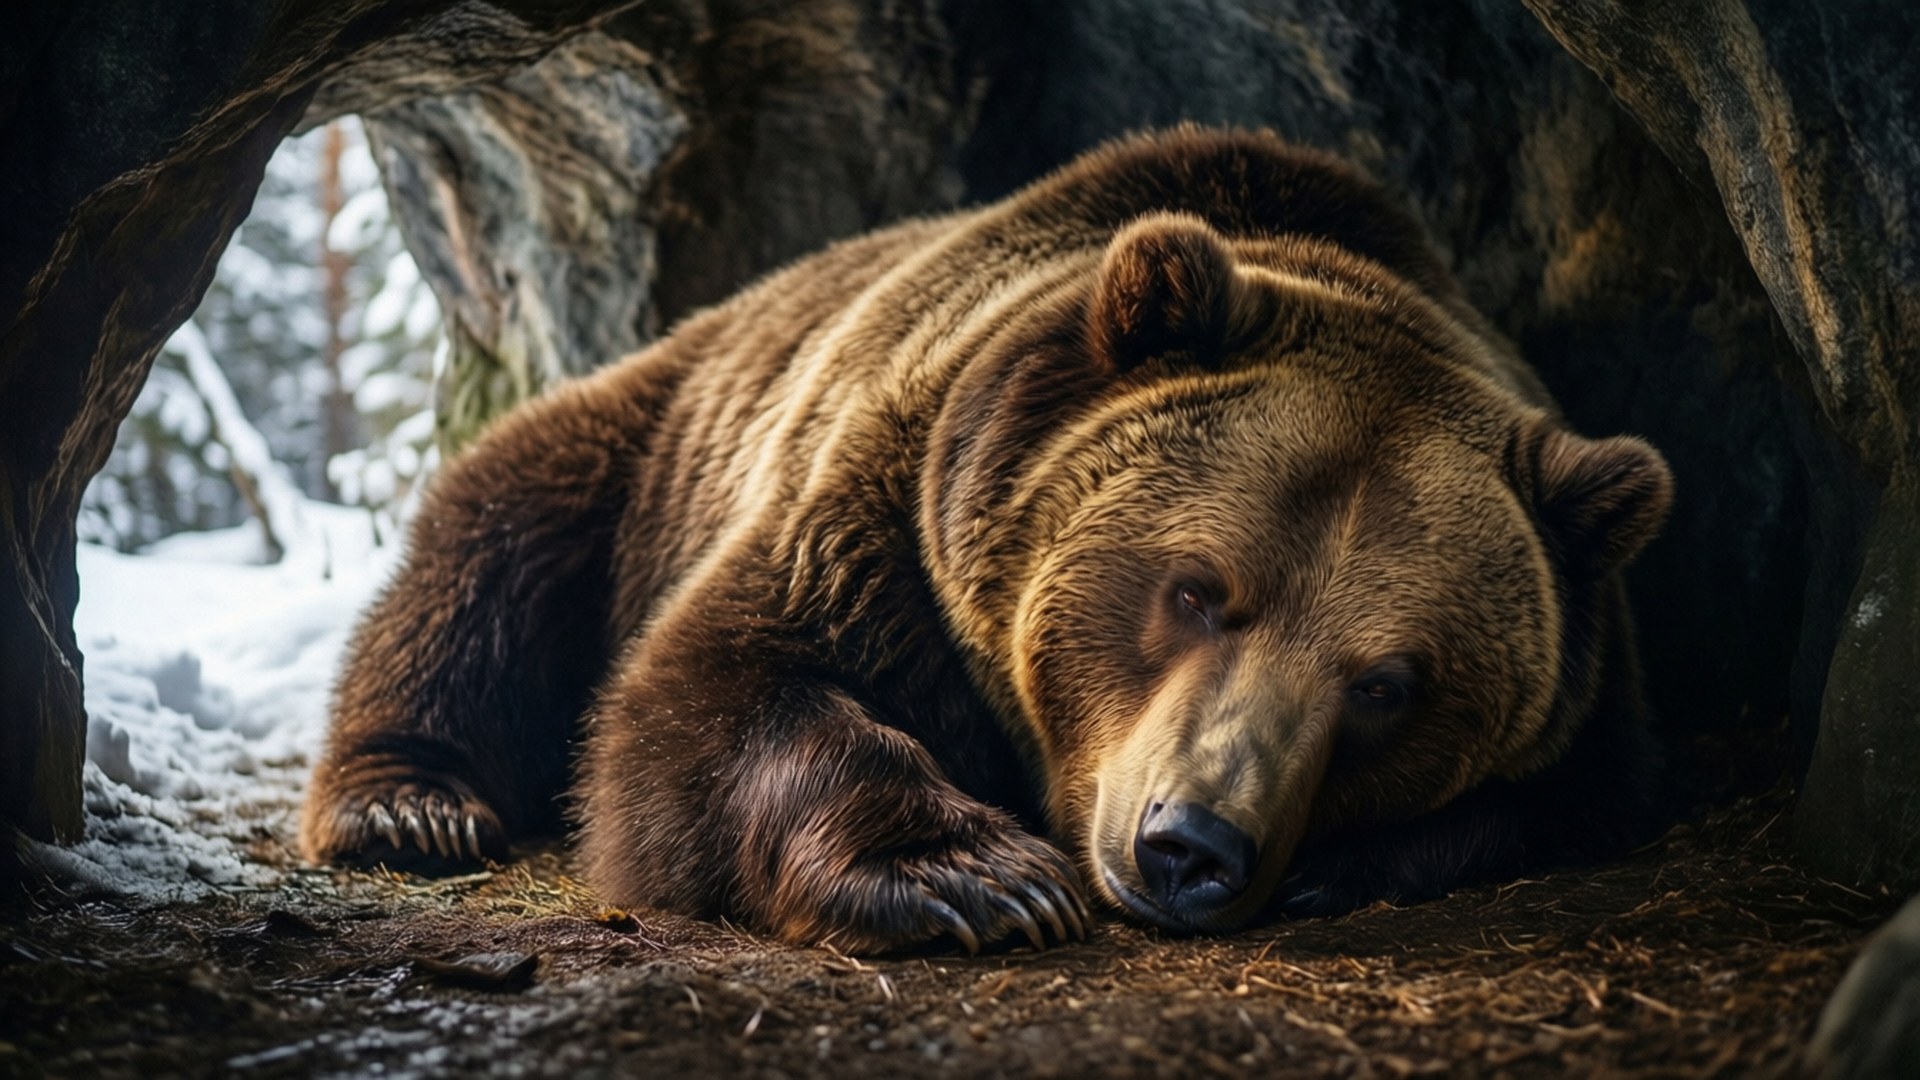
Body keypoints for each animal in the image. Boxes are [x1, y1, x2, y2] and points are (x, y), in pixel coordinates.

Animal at [300, 125, 1673, 953]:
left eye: (1388, 681)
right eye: (1196, 590)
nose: (1190, 846)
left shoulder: (1595, 657)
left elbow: (1571, 793)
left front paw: (1341, 861)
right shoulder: (888, 519)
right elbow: (707, 703)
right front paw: (976, 876)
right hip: (643, 446)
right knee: (488, 556)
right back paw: (410, 806)